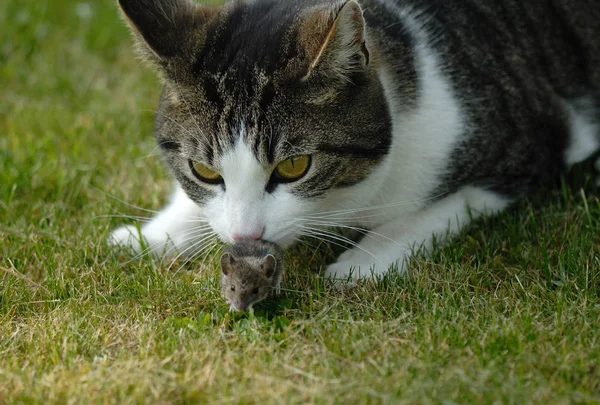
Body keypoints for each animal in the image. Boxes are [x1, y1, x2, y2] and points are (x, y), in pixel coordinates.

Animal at [109, 0, 600, 282]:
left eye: (294, 167)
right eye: (204, 170)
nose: (246, 235)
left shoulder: (531, 142)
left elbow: (434, 209)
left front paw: (360, 264)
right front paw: (150, 235)